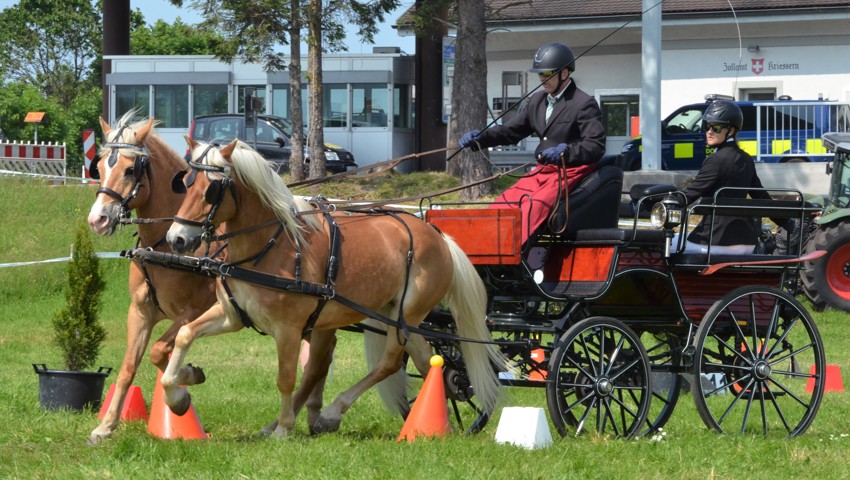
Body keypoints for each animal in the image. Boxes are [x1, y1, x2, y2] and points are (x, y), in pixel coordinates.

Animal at [164, 138, 510, 436]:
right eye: (185, 184)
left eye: (211, 189)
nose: (176, 239)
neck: (271, 245)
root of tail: (439, 236)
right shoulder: (231, 315)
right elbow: (184, 334)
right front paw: (177, 395)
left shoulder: (288, 329)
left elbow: (286, 378)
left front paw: (284, 429)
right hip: (397, 315)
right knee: (427, 361)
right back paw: (437, 424)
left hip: (408, 314)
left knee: (390, 362)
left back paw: (333, 413)